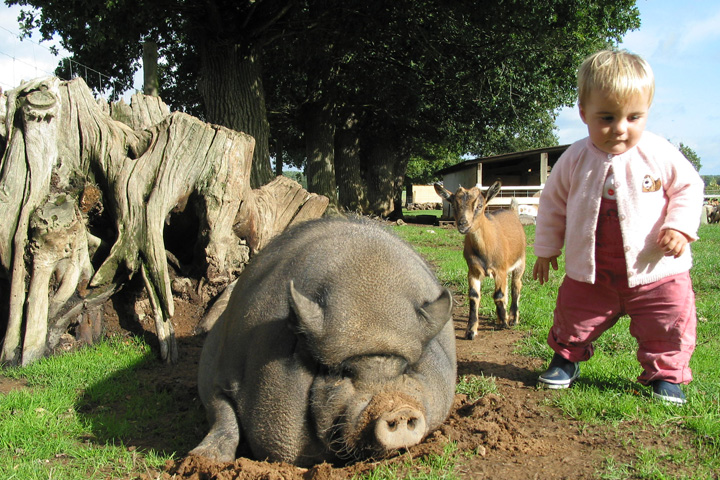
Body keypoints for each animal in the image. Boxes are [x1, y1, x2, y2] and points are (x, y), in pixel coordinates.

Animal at [191, 218, 456, 464]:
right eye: (341, 372)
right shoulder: (221, 371)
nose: (398, 409)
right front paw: (204, 458)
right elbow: (222, 410)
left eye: (407, 368)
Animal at [434, 182, 528, 340]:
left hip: (520, 262)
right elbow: (474, 296)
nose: (463, 224)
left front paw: (504, 323)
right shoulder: (473, 271)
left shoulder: (500, 269)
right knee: (508, 288)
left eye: (479, 205)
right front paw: (471, 331)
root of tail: (512, 211)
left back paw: (513, 319)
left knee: (516, 285)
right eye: (454, 204)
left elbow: (498, 295)